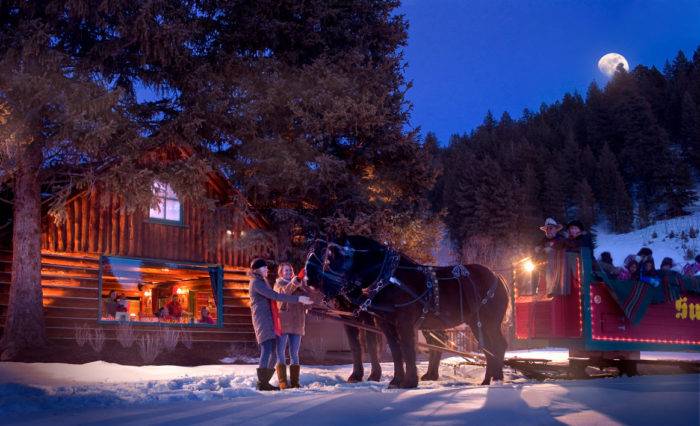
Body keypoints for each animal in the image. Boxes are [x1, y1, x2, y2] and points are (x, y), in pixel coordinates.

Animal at [304, 235, 508, 388]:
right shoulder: (385, 323)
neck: (390, 278)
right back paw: (490, 379)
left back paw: (494, 380)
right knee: (488, 348)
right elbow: (395, 350)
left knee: (496, 346)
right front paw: (396, 381)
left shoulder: (403, 322)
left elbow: (406, 348)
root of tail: (497, 277)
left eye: (328, 256)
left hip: (488, 322)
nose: (307, 278)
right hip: (474, 322)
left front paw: (409, 382)